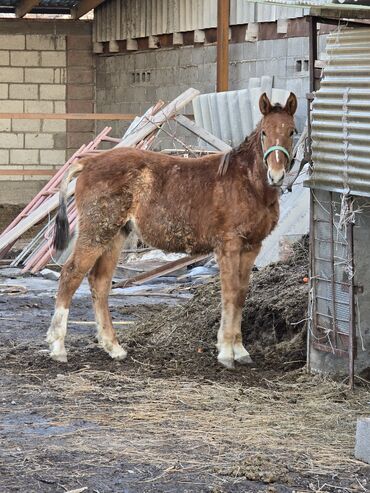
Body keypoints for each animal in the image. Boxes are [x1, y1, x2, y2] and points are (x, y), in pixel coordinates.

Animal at [47, 92, 298, 368]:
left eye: (292, 131)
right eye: (264, 132)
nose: (276, 175)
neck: (247, 183)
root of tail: (90, 161)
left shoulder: (253, 245)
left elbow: (241, 293)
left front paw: (240, 350)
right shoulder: (229, 245)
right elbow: (230, 292)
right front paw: (225, 352)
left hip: (115, 234)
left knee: (99, 282)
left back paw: (114, 347)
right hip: (96, 231)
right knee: (71, 274)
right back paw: (58, 347)